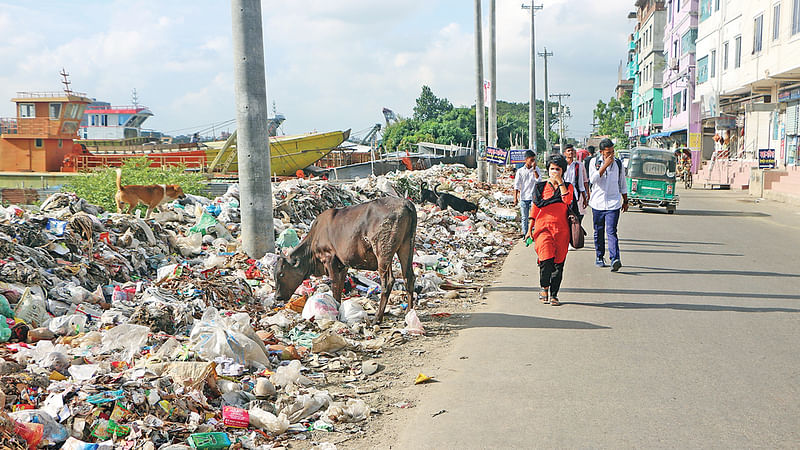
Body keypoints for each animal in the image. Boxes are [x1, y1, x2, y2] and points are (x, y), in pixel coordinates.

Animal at [274, 198, 416, 324]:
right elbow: (340, 284)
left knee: (387, 282)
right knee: (409, 277)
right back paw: (409, 314)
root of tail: (405, 203)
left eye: (281, 274)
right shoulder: (343, 264)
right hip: (406, 245)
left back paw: (377, 318)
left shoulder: (329, 258)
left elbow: (335, 285)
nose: (277, 297)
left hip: (382, 250)